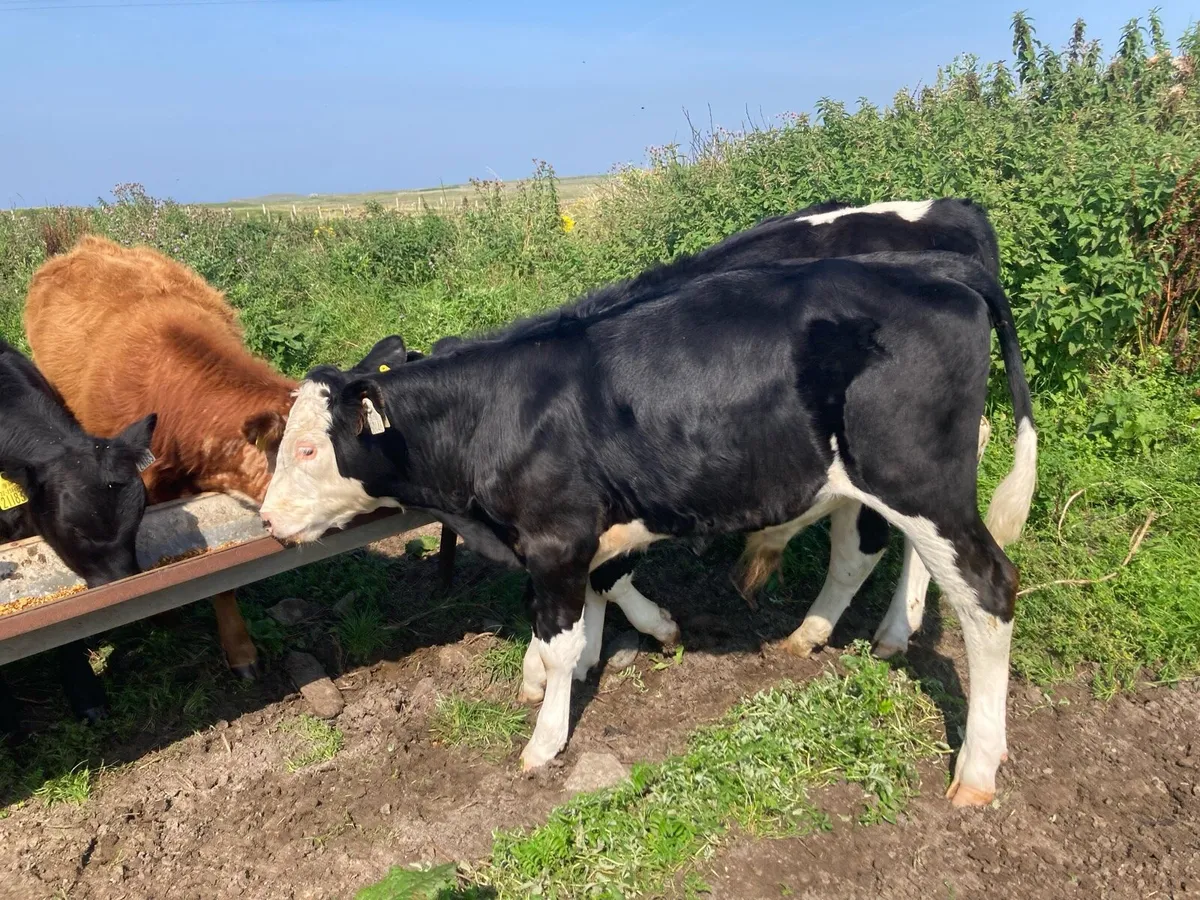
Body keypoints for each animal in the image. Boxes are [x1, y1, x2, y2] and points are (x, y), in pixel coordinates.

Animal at [257, 249, 1038, 807]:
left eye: (309, 448)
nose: (266, 516)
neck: (498, 412)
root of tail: (937, 268)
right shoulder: (590, 532)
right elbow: (602, 592)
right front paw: (630, 640)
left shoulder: (555, 535)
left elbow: (560, 634)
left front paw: (545, 735)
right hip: (866, 483)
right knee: (862, 554)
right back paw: (829, 635)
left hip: (918, 478)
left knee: (987, 591)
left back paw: (977, 766)